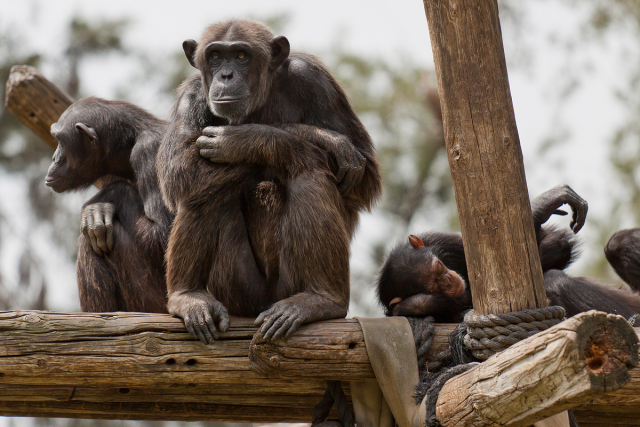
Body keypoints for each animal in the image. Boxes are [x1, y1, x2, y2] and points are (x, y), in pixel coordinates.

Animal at [45, 99, 172, 314]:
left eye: (60, 141)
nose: (54, 158)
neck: (129, 142)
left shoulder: (149, 150)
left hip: (156, 303)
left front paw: (97, 208)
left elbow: (161, 235)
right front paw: (97, 210)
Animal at [158, 19, 382, 344]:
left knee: (309, 169)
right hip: (237, 290)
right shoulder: (191, 97)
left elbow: (365, 174)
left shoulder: (316, 81)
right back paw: (188, 296)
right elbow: (178, 167)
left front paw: (251, 138)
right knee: (200, 189)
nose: (226, 75)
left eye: (241, 56)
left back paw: (322, 299)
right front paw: (323, 138)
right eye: (215, 56)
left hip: (286, 286)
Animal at [376, 186, 592, 322]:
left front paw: (542, 205)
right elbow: (420, 304)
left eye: (439, 267)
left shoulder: (442, 240)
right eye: (434, 286)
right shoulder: (414, 305)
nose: (447, 280)